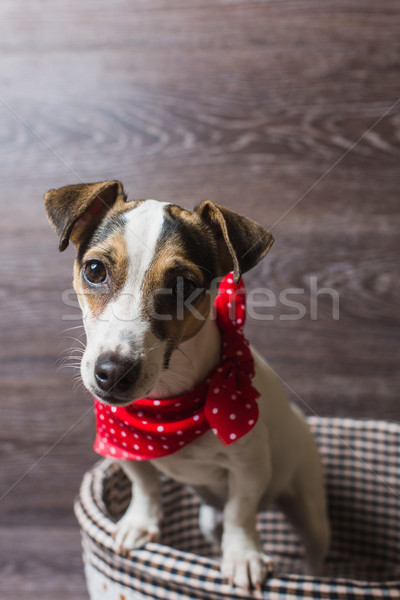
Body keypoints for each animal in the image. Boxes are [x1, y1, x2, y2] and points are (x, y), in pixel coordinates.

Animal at [45, 179, 330, 592]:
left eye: (183, 285)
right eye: (95, 270)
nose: (113, 372)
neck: (167, 406)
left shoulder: (250, 467)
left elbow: (241, 512)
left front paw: (243, 555)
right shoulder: (124, 446)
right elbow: (145, 483)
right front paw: (139, 523)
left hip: (308, 505)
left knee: (312, 548)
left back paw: (311, 575)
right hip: (208, 518)